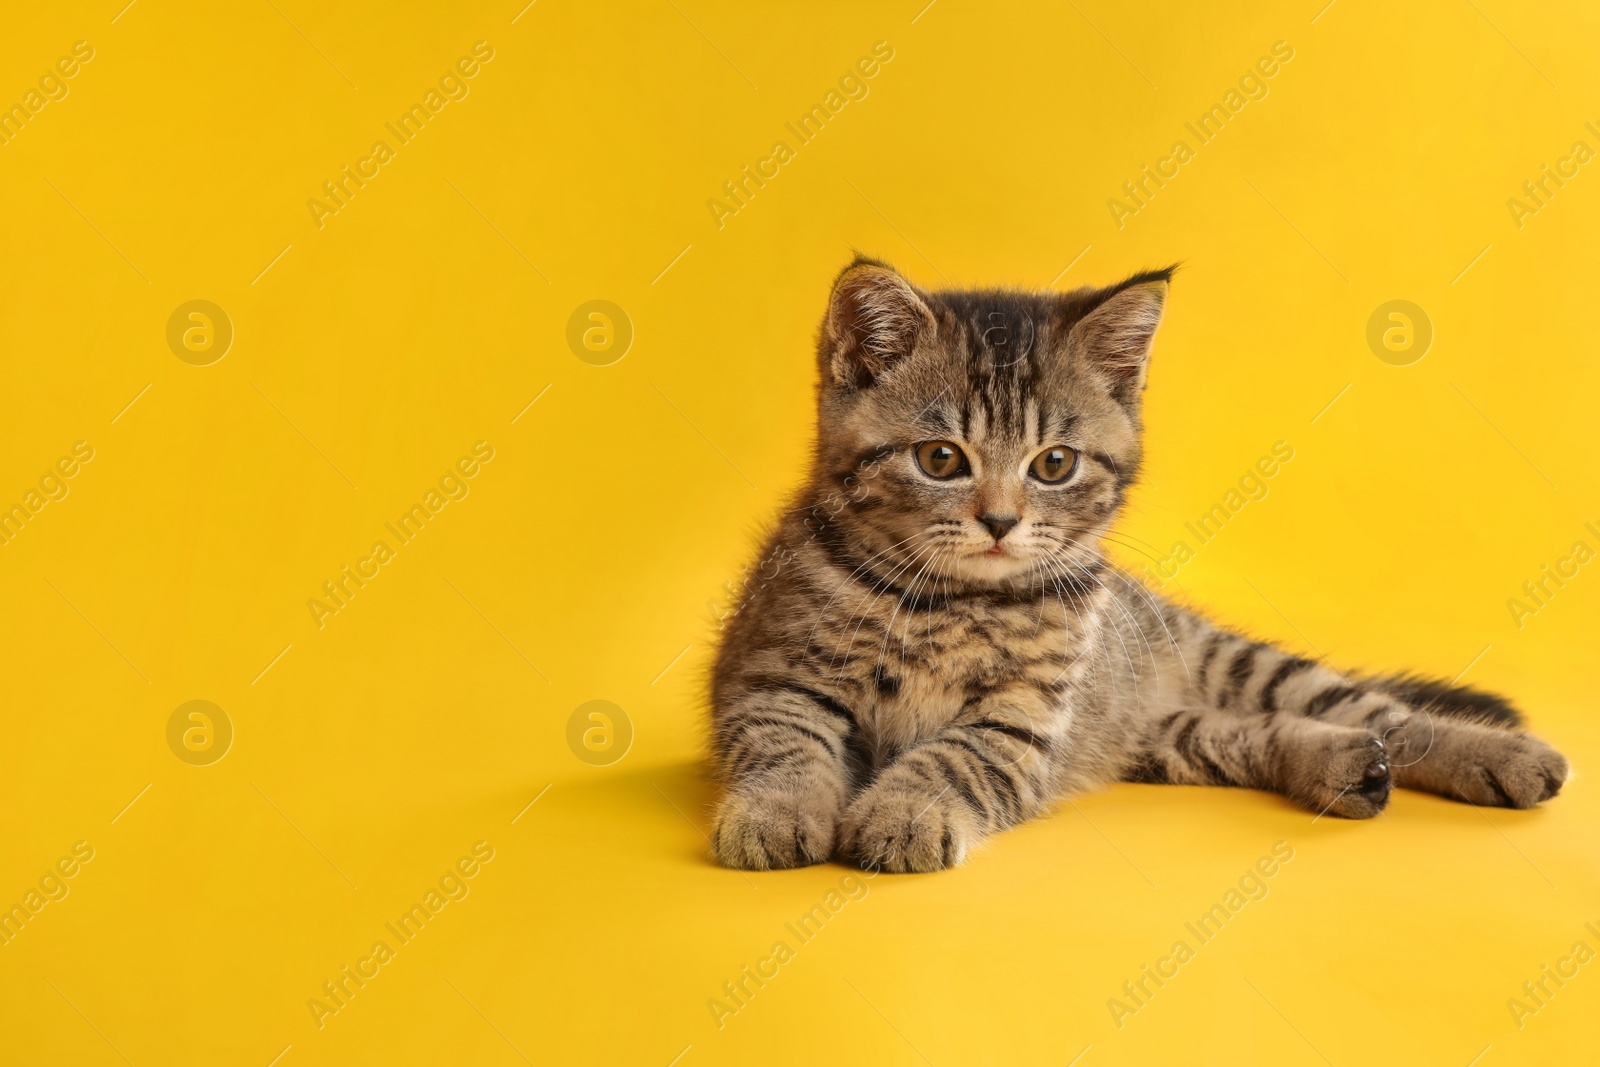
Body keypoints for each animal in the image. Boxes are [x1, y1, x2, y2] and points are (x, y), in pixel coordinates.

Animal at [710, 260, 1561, 876]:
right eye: (941, 458)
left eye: (1054, 464)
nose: (1000, 520)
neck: (954, 601)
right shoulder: (769, 673)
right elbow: (785, 738)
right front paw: (776, 811)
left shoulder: (1023, 718)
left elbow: (954, 757)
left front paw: (901, 812)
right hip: (1158, 735)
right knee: (1246, 732)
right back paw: (1342, 763)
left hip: (1227, 661)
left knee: (1382, 712)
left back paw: (1505, 756)